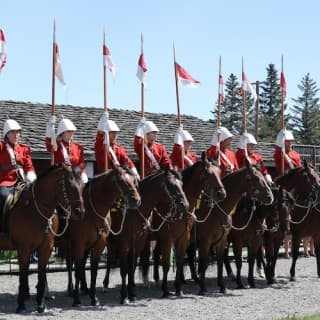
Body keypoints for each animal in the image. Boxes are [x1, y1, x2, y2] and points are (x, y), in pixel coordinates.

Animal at [0, 165, 85, 312]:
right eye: (70, 185)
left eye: (82, 185)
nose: (80, 212)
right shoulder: (24, 248)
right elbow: (23, 274)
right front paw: (21, 304)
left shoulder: (46, 247)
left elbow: (41, 273)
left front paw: (40, 303)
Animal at [59, 166, 141, 306]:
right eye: (121, 181)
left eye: (134, 180)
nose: (136, 200)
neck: (91, 211)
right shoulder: (79, 244)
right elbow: (78, 270)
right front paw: (77, 300)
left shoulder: (99, 244)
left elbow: (94, 270)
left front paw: (94, 298)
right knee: (71, 266)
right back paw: (71, 290)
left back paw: (83, 289)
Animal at [103, 169, 188, 304]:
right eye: (170, 185)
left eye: (181, 183)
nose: (184, 204)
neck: (134, 212)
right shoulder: (124, 243)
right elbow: (124, 270)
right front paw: (124, 296)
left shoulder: (139, 242)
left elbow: (131, 267)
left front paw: (132, 294)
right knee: (108, 259)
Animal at [144, 152, 226, 298]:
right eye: (208, 174)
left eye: (219, 172)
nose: (221, 193)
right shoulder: (168, 238)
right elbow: (167, 264)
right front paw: (165, 290)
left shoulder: (183, 238)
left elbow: (180, 261)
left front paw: (178, 288)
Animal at [195, 160, 272, 296]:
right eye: (256, 178)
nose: (269, 197)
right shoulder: (211, 241)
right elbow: (238, 262)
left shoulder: (248, 240)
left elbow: (248, 260)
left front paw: (248, 282)